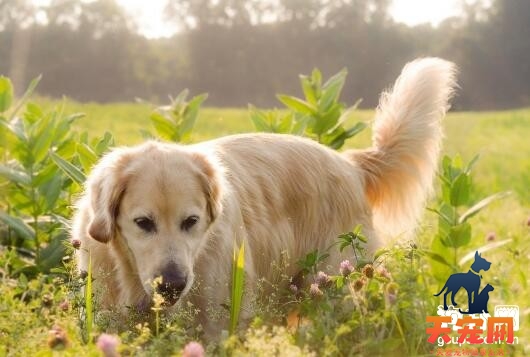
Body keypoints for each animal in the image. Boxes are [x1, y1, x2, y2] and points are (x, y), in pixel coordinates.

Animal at [72, 57, 456, 336]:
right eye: (143, 223)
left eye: (191, 222)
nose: (173, 285)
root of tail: (349, 164)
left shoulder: (217, 323)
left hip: (338, 287)